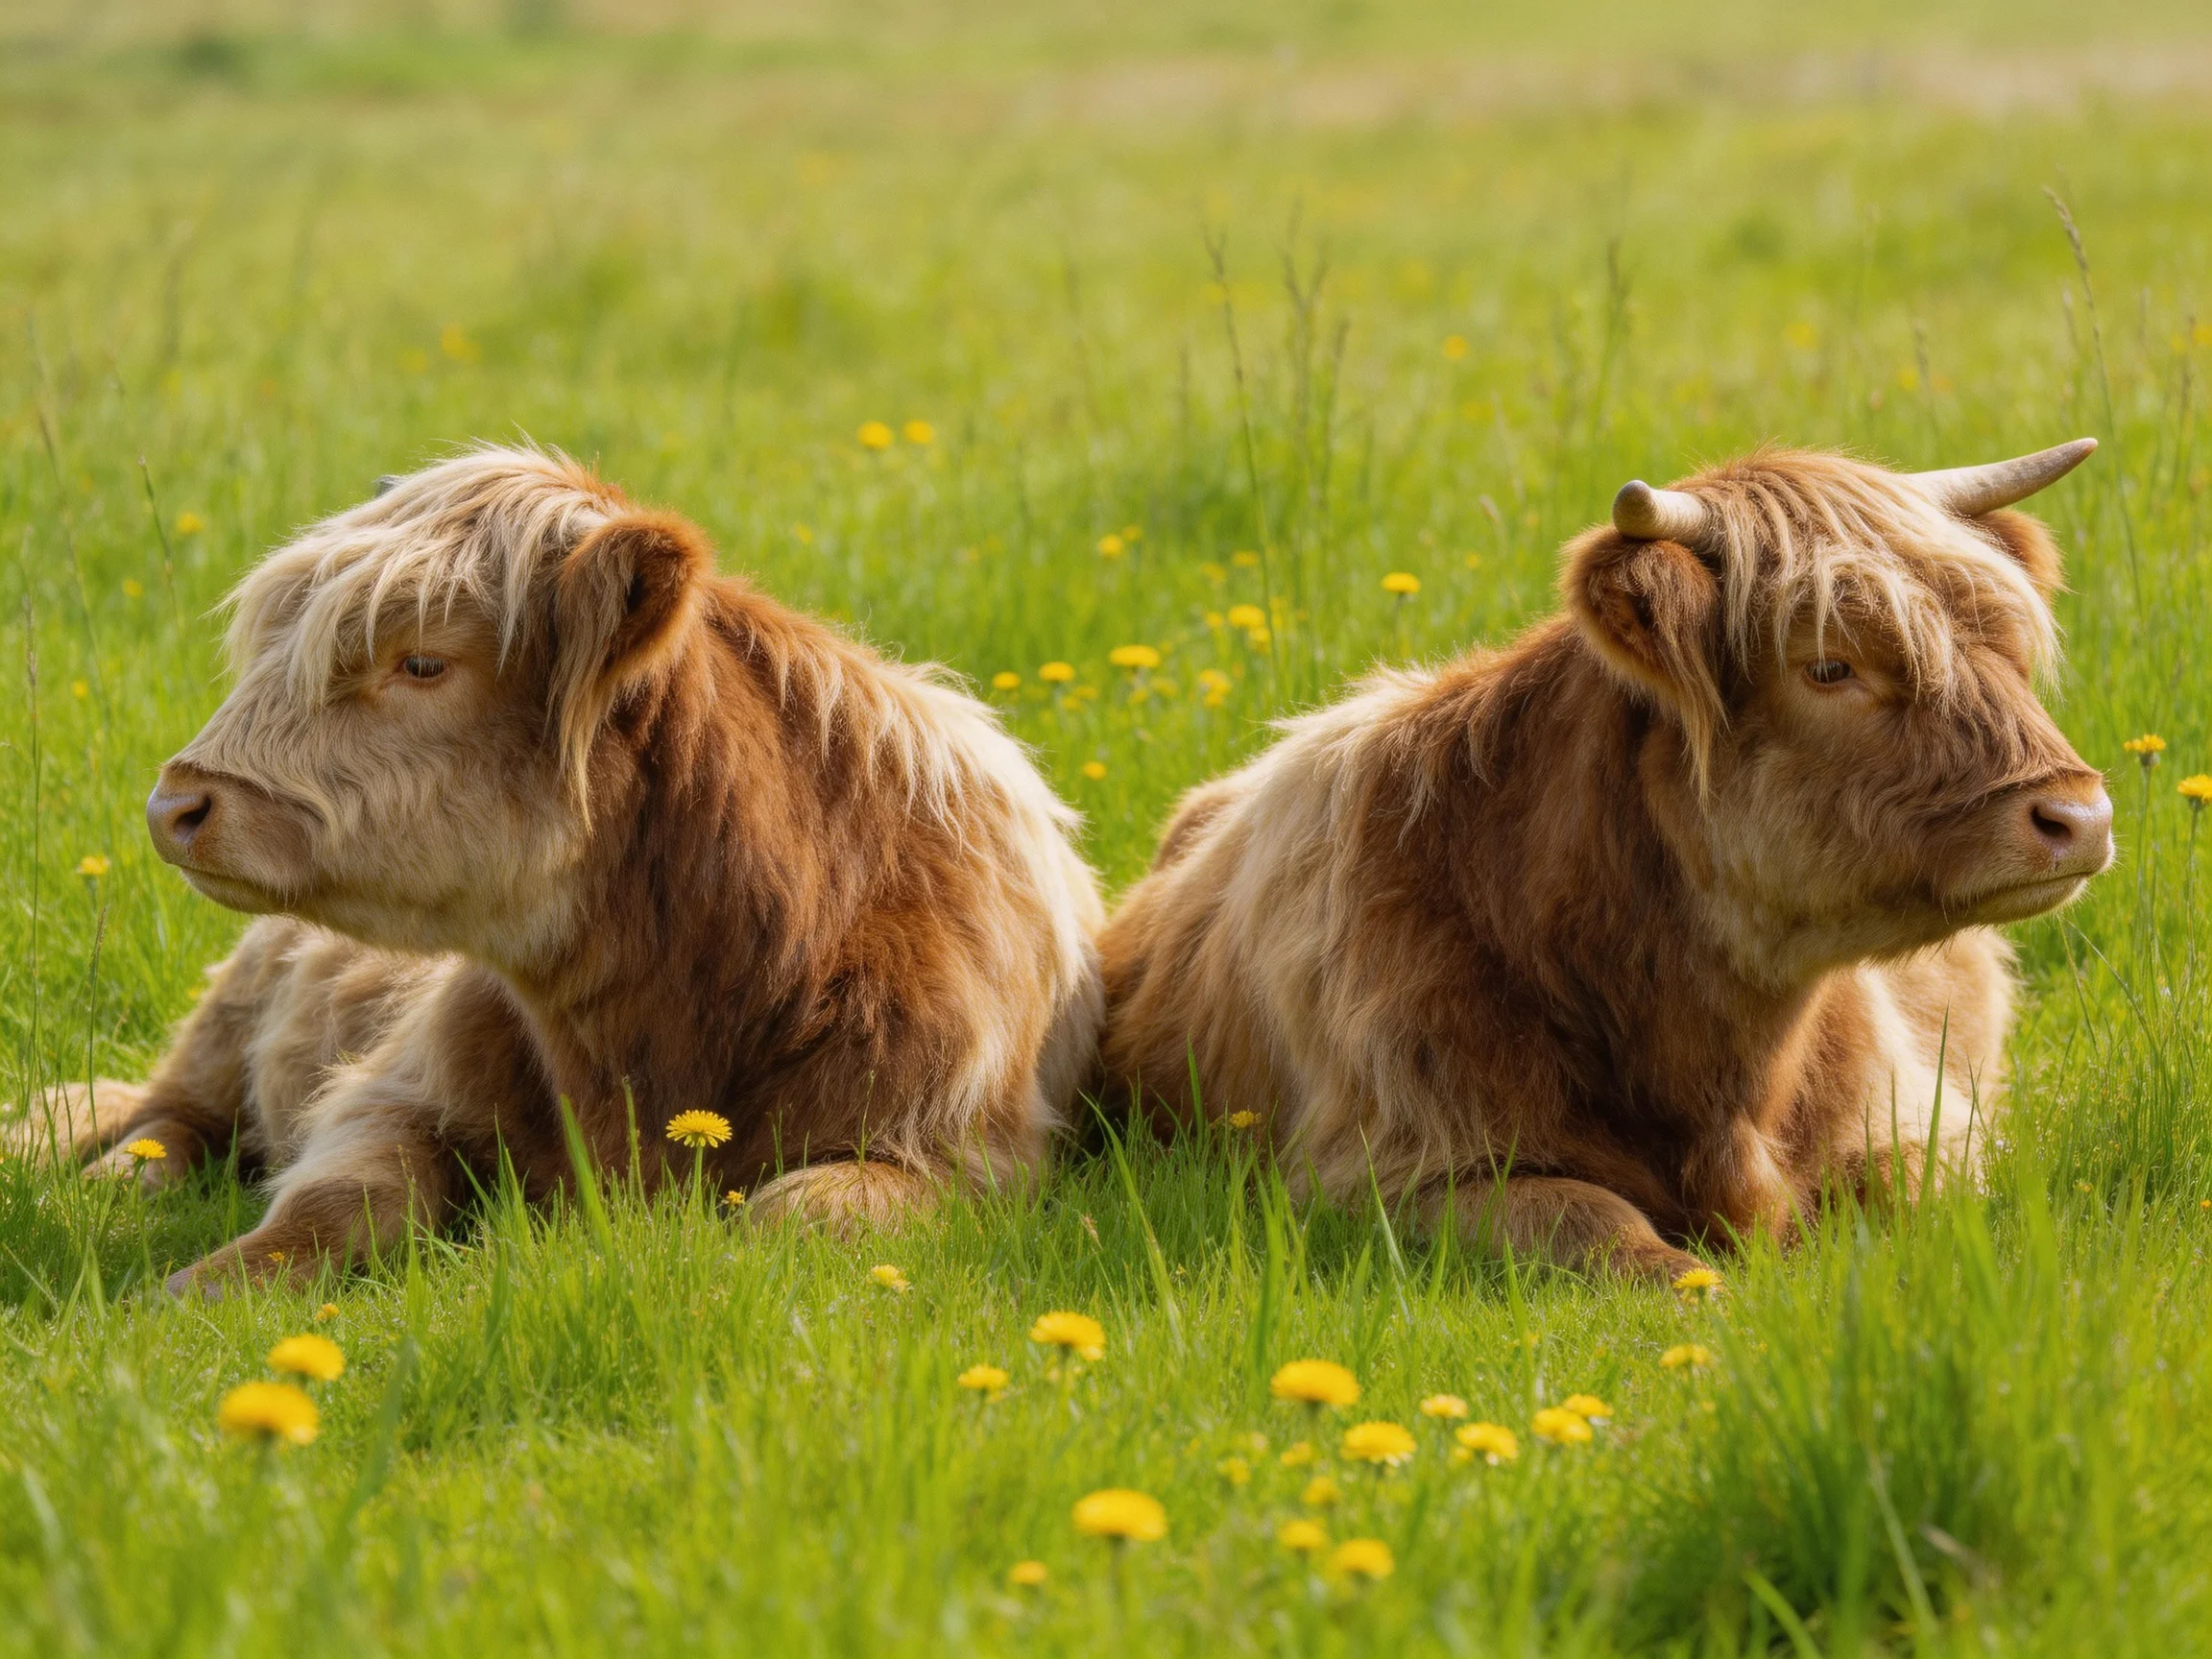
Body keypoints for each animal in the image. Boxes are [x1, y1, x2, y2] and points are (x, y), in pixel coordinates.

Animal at [14, 446, 1104, 1293]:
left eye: (423, 663)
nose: (176, 805)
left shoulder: (970, 1156)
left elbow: (796, 1217)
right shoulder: (392, 1083)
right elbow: (346, 1200)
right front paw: (195, 1289)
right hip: (229, 1016)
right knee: (147, 1107)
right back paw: (118, 1177)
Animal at [1095, 442, 2112, 1282]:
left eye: (2005, 645)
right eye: (1830, 666)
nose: (2081, 815)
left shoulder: (1921, 1123)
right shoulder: (1386, 1176)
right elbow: (1606, 1230)